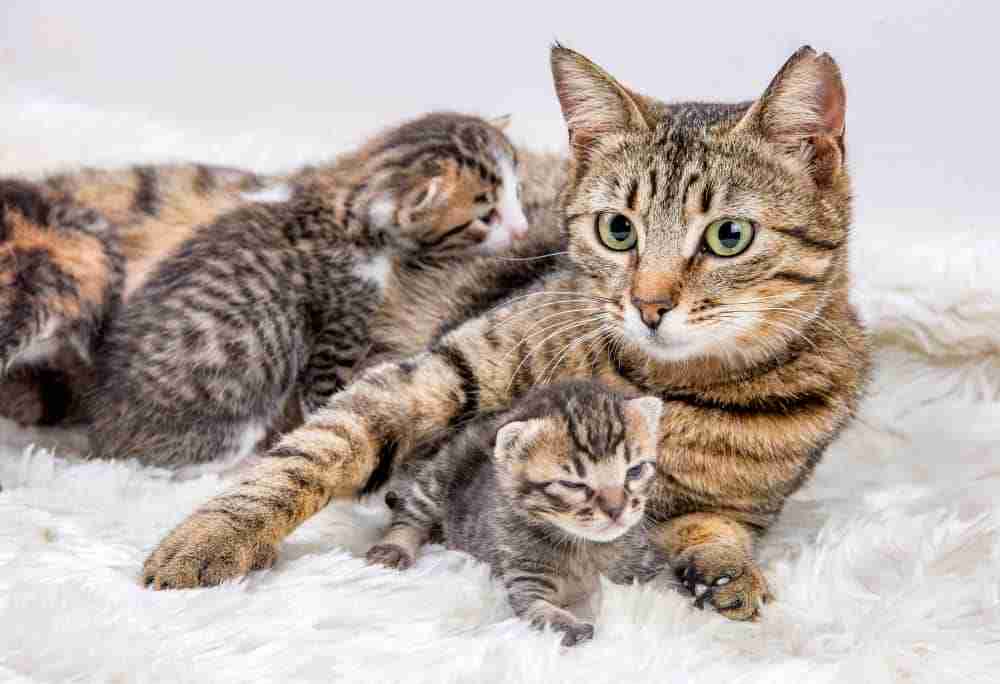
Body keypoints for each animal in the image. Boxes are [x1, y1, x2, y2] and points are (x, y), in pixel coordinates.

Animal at [366, 380, 664, 648]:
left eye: (635, 471)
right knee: (409, 512)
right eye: (573, 485)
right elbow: (535, 606)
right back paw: (395, 546)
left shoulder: (647, 562)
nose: (616, 510)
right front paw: (565, 624)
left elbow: (664, 586)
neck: (584, 547)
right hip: (436, 479)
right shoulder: (525, 573)